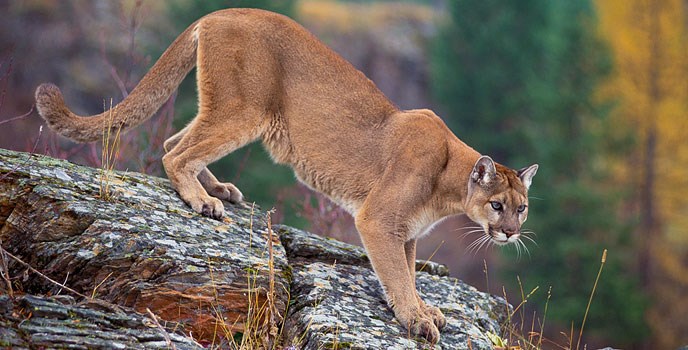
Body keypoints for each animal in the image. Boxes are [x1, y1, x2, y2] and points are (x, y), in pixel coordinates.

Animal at [36, 8, 536, 342]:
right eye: (497, 205)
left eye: (523, 209)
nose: (511, 233)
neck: (449, 181)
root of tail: (218, 12)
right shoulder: (379, 219)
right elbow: (397, 273)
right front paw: (415, 318)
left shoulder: (406, 231)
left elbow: (407, 272)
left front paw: (422, 309)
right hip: (244, 109)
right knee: (175, 153)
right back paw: (203, 200)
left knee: (172, 141)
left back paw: (219, 189)